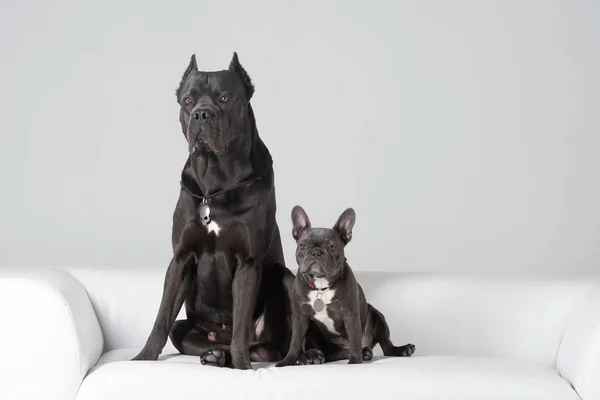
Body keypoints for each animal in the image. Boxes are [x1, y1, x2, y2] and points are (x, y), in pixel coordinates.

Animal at [135, 54, 296, 372]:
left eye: (224, 98)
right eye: (187, 100)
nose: (201, 115)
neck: (216, 185)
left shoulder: (248, 263)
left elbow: (241, 325)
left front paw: (243, 368)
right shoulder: (181, 259)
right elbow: (161, 318)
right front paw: (142, 358)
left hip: (283, 277)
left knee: (270, 344)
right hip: (189, 327)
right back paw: (217, 356)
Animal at [276, 206, 412, 366]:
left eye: (332, 247)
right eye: (302, 246)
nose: (316, 252)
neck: (321, 287)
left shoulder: (350, 314)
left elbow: (354, 339)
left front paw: (355, 362)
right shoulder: (300, 317)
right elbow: (295, 341)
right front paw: (287, 361)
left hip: (377, 315)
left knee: (386, 347)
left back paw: (400, 350)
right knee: (334, 352)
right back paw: (315, 356)